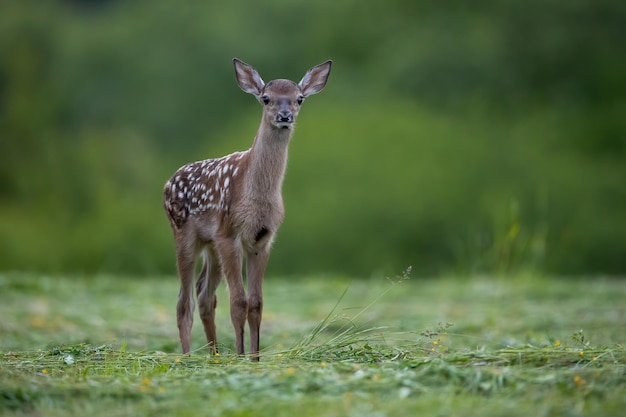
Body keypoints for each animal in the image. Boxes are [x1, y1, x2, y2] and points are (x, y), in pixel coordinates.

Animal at [165, 57, 332, 358]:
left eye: (299, 99)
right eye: (266, 98)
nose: (285, 116)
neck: (255, 197)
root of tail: (168, 181)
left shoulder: (262, 239)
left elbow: (256, 302)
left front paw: (254, 357)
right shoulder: (229, 234)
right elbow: (238, 301)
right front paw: (241, 355)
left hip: (211, 245)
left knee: (205, 295)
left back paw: (214, 355)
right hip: (184, 233)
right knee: (184, 301)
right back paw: (187, 356)